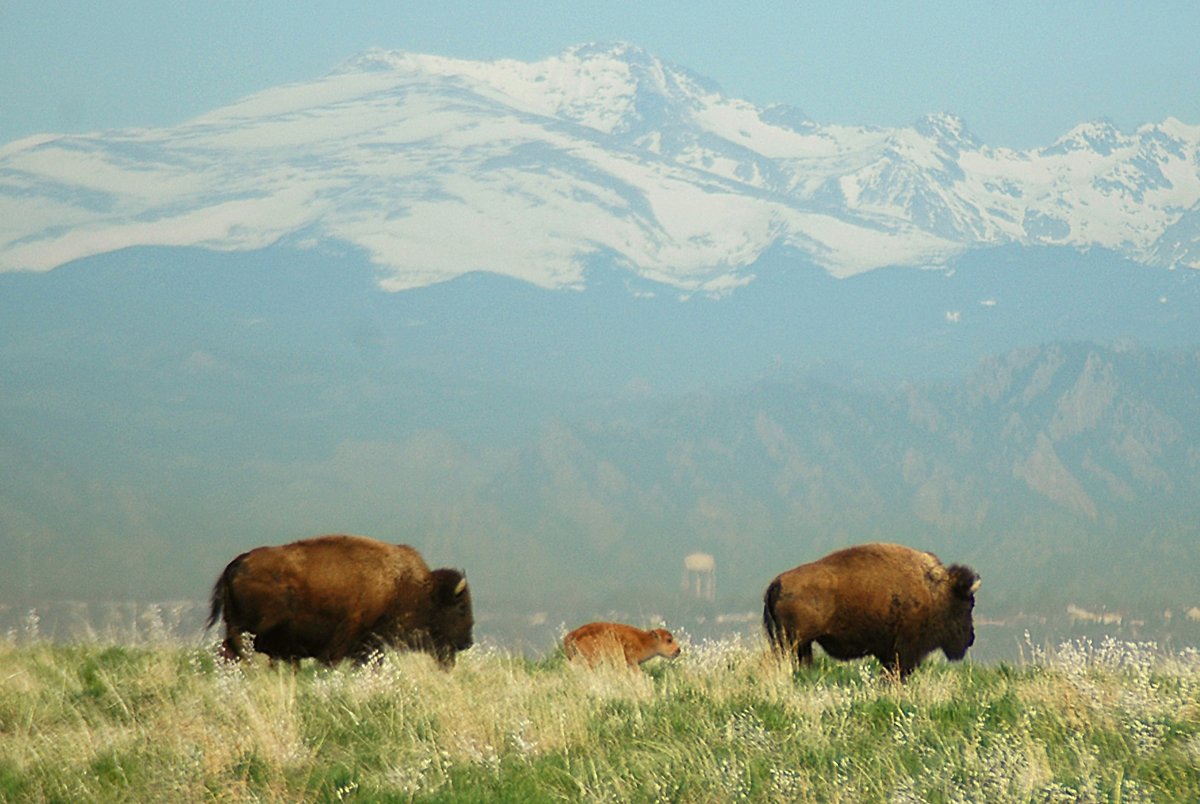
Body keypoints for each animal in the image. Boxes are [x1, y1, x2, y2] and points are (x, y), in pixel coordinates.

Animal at [762, 542, 979, 679]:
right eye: (968, 604)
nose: (970, 638)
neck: (935, 591)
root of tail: (776, 583)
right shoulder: (904, 651)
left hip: (800, 643)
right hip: (792, 642)